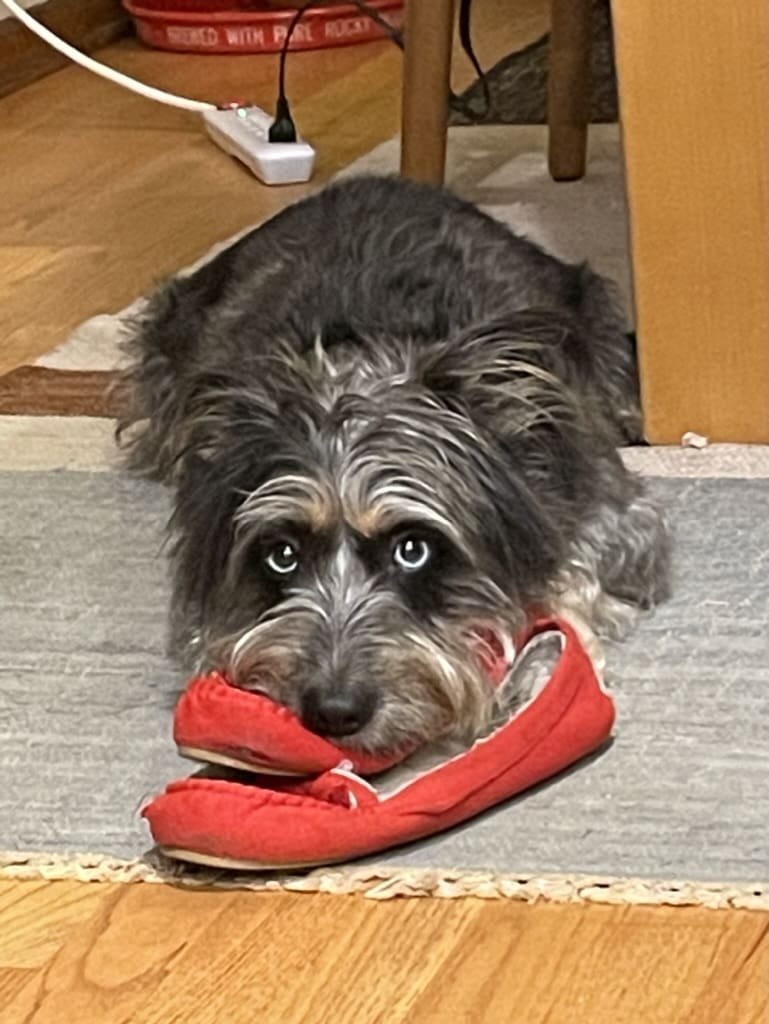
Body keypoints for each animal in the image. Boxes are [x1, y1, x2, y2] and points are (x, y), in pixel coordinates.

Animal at [117, 174, 671, 753]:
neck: (358, 376)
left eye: (413, 549)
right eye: (282, 555)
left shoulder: (617, 522)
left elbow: (574, 577)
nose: (335, 712)